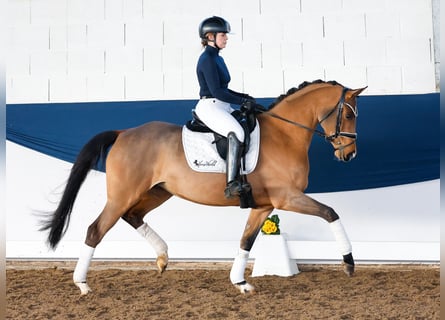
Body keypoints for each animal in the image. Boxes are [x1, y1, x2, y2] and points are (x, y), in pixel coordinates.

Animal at [41, 80, 366, 296]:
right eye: (349, 114)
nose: (349, 155)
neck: (285, 135)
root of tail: (124, 133)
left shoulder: (264, 205)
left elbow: (246, 241)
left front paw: (240, 282)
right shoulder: (286, 197)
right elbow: (330, 212)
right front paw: (349, 263)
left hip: (157, 192)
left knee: (132, 216)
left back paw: (162, 258)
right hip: (123, 194)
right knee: (96, 229)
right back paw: (83, 284)